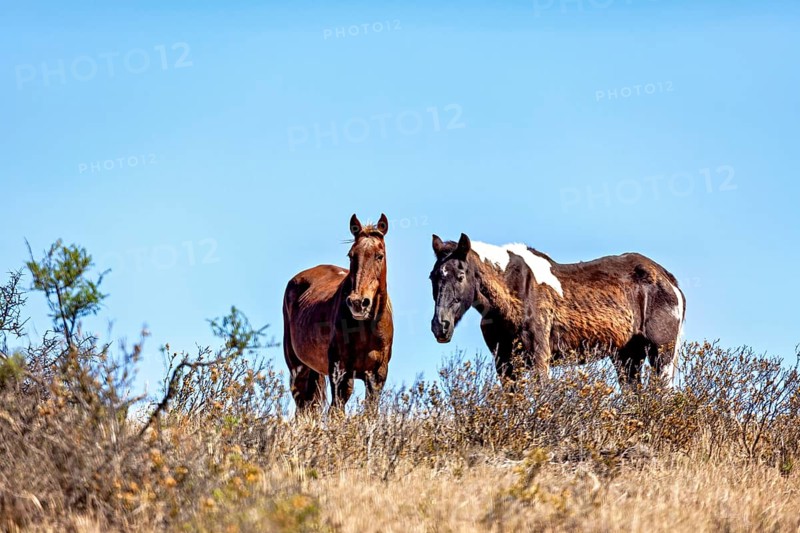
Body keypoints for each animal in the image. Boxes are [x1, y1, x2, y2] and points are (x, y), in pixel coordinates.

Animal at [283, 214, 394, 412]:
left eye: (379, 256)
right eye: (351, 255)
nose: (358, 302)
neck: (366, 328)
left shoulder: (377, 377)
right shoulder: (341, 373)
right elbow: (337, 411)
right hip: (298, 369)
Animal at [428, 233, 685, 387]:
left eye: (461, 276)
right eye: (432, 276)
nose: (440, 326)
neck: (515, 289)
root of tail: (668, 279)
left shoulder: (540, 357)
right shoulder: (505, 363)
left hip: (661, 353)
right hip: (626, 357)